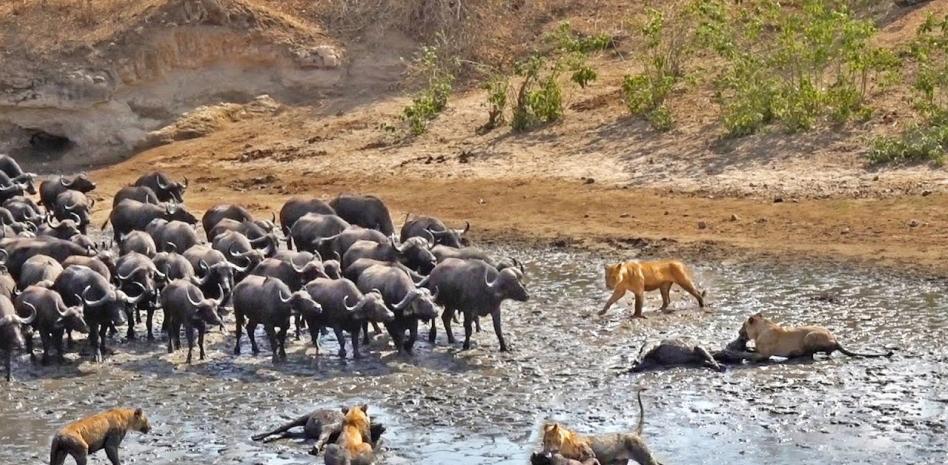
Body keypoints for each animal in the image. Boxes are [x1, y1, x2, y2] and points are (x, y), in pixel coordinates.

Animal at [741, 312, 893, 359]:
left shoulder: (764, 354)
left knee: (811, 353)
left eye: (743, 325)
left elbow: (753, 355)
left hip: (809, 336)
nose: (738, 332)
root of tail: (835, 339)